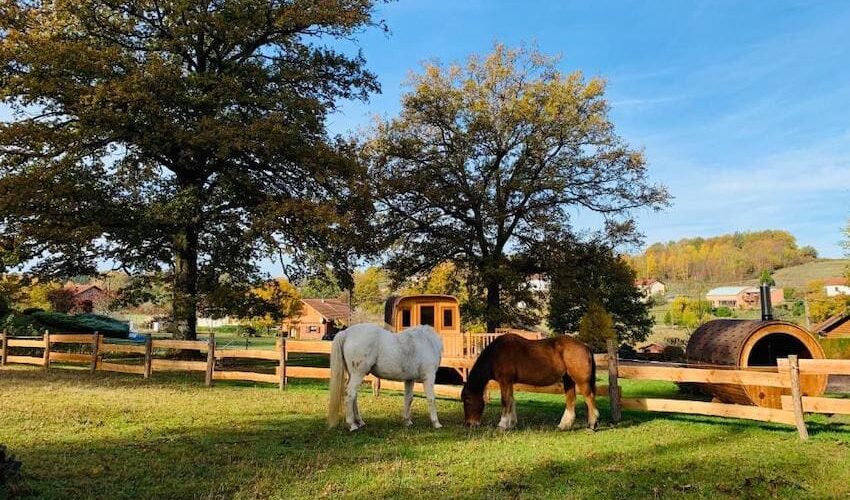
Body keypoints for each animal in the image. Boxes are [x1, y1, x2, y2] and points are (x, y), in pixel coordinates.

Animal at [460, 334, 600, 428]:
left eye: (467, 401)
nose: (469, 424)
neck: (495, 355)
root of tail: (585, 346)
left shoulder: (504, 381)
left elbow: (505, 401)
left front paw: (503, 424)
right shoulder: (509, 382)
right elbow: (511, 400)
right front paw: (512, 423)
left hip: (581, 381)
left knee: (589, 398)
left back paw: (592, 425)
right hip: (568, 379)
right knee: (571, 400)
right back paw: (564, 425)